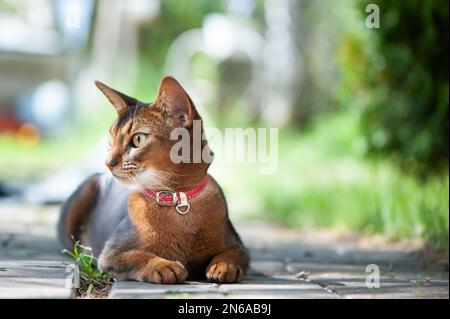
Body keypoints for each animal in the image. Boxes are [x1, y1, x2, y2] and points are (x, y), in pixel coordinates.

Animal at [56, 76, 250, 284]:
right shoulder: (110, 254)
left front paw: (224, 266)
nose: (107, 163)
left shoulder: (239, 246)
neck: (177, 200)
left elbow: (232, 254)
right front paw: (164, 266)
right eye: (110, 141)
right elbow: (138, 256)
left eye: (138, 140)